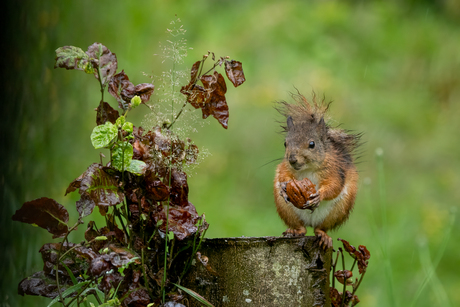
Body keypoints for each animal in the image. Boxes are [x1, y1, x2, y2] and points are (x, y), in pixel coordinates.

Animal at [272, 93, 362, 250]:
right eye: (285, 143)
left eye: (312, 144)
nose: (292, 159)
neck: (308, 168)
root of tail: (310, 221)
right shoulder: (285, 167)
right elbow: (283, 175)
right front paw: (284, 187)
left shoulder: (334, 169)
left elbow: (334, 185)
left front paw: (319, 195)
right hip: (286, 209)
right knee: (300, 226)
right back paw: (295, 230)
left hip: (338, 211)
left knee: (320, 228)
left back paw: (323, 236)